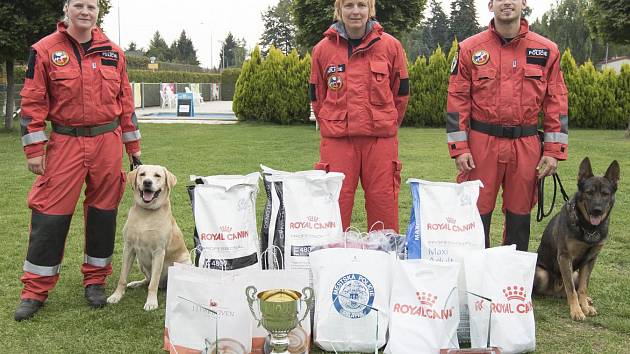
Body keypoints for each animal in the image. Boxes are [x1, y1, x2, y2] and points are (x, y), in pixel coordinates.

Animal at [536, 158, 620, 320]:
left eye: (605, 194)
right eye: (589, 193)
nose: (597, 210)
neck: (588, 227)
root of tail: (555, 292)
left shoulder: (590, 260)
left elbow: (582, 288)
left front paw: (585, 307)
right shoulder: (565, 257)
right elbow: (571, 289)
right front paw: (576, 311)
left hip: (576, 273)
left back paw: (587, 300)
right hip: (541, 274)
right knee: (564, 290)